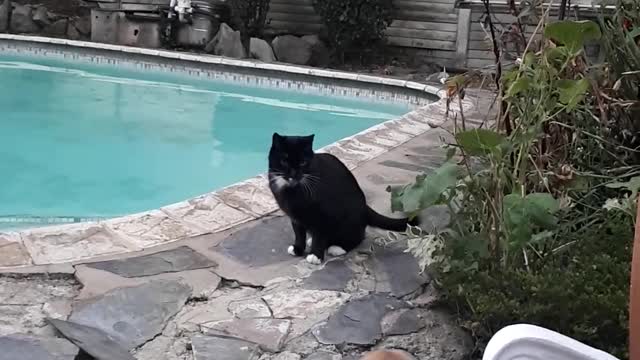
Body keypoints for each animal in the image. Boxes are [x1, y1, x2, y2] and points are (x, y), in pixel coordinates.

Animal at [266, 133, 420, 264]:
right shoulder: (295, 216)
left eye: (303, 162)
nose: (294, 173)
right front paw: (298, 249)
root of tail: (365, 207)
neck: (293, 189)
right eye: (284, 161)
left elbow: (319, 235)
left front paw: (316, 255)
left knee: (358, 236)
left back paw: (337, 247)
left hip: (349, 220)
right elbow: (299, 233)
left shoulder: (323, 213)